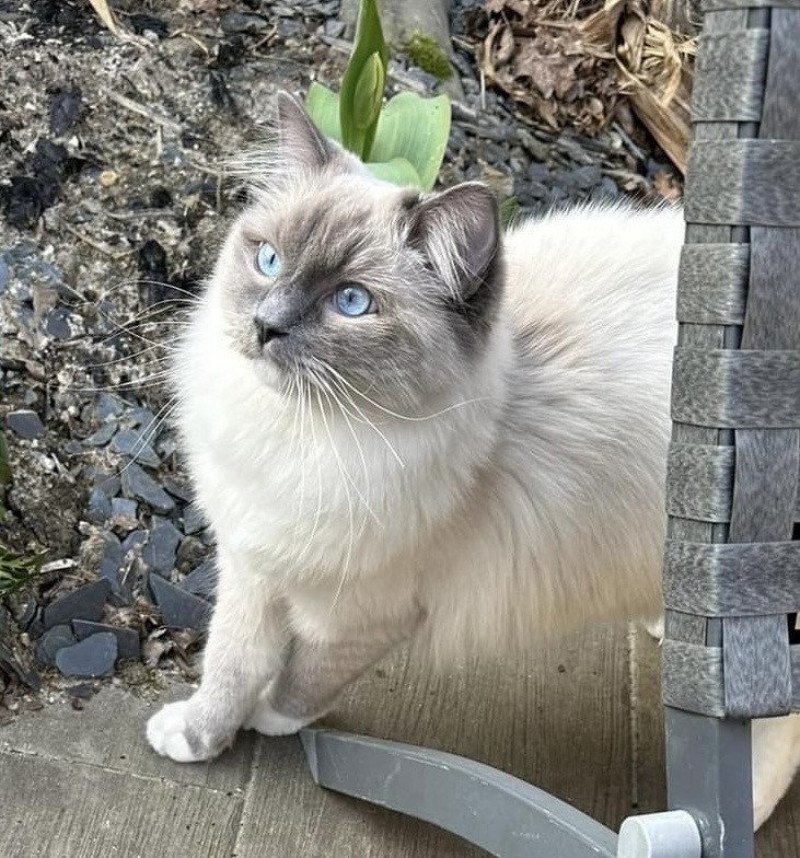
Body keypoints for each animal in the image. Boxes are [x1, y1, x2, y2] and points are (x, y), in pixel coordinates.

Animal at [148, 92, 800, 824]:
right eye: (267, 260)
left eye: (351, 302)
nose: (266, 326)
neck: (304, 435)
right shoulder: (254, 566)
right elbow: (229, 667)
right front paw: (196, 736)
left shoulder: (361, 615)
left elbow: (299, 683)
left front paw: (268, 721)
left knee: (780, 730)